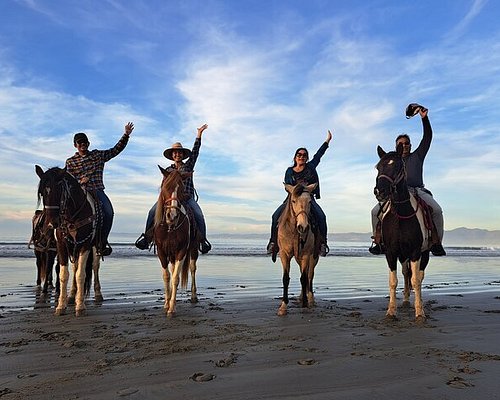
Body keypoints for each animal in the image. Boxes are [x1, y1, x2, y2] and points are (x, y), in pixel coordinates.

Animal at [35, 166, 102, 316]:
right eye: (42, 193)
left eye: (59, 191)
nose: (51, 224)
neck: (72, 216)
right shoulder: (61, 245)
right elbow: (64, 274)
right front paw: (61, 306)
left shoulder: (85, 245)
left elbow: (81, 274)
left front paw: (80, 306)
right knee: (75, 267)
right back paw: (72, 296)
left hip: (95, 247)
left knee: (94, 267)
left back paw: (97, 294)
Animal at [153, 166, 200, 316]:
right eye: (165, 187)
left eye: (181, 189)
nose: (171, 215)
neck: (170, 228)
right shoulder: (162, 252)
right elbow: (167, 276)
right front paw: (166, 303)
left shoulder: (181, 251)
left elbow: (175, 278)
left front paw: (171, 307)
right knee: (173, 269)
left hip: (193, 249)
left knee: (192, 268)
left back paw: (193, 296)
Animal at [276, 183, 318, 318]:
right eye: (293, 201)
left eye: (310, 201)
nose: (303, 227)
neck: (294, 231)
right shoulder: (284, 254)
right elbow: (286, 278)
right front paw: (283, 307)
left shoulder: (306, 255)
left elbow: (304, 278)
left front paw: (305, 304)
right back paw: (301, 296)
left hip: (313, 257)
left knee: (309, 275)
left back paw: (310, 298)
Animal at [376, 144, 430, 322]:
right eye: (378, 167)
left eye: (397, 166)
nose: (379, 191)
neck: (401, 213)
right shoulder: (391, 252)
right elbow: (394, 280)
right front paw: (391, 311)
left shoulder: (415, 252)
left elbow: (416, 280)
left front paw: (420, 312)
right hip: (402, 255)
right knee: (406, 273)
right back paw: (406, 300)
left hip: (424, 253)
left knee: (418, 275)